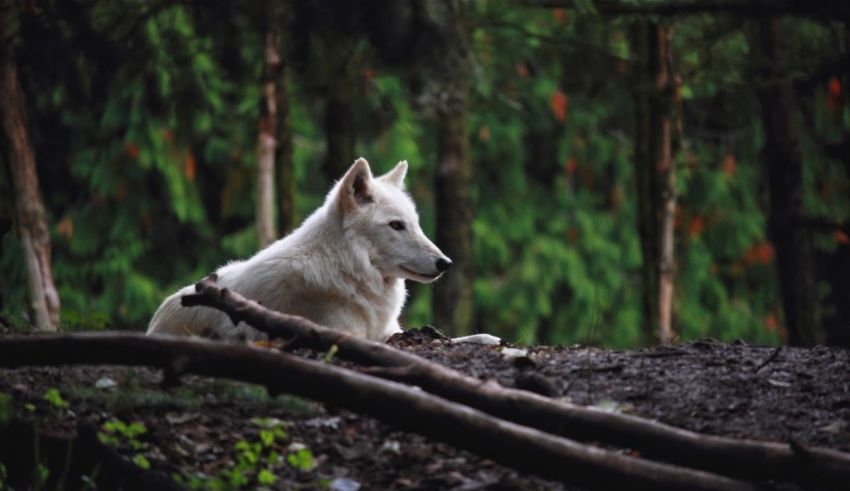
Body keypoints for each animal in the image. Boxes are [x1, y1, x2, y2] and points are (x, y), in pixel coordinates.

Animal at [146, 159, 450, 342]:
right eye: (396, 225)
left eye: (416, 224)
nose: (445, 262)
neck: (346, 269)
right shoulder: (344, 333)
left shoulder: (388, 331)